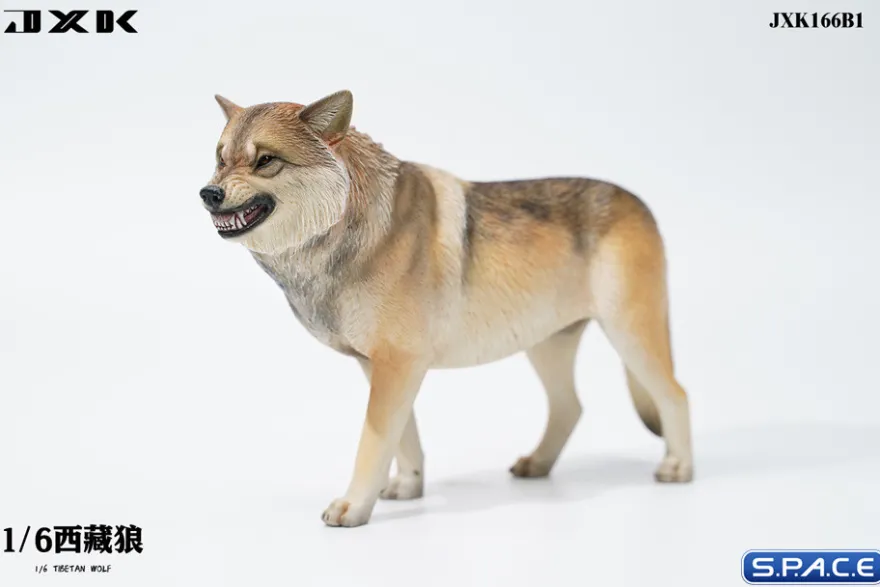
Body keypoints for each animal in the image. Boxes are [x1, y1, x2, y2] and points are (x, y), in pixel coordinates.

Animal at [200, 90, 694, 527]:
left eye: (265, 160)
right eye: (220, 159)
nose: (208, 193)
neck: (350, 228)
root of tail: (639, 203)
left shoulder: (397, 366)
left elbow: (373, 443)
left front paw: (353, 508)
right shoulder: (382, 367)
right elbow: (404, 440)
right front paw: (408, 488)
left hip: (630, 334)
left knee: (675, 394)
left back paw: (678, 468)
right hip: (546, 346)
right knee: (570, 407)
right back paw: (536, 465)